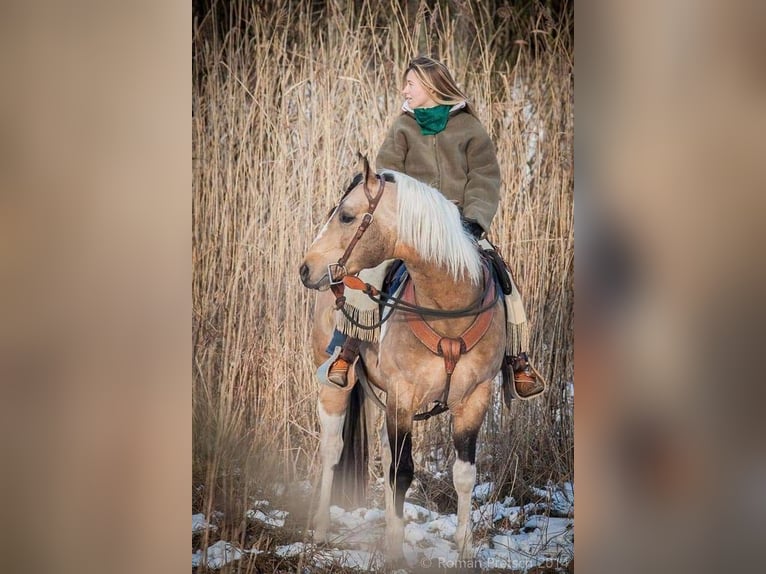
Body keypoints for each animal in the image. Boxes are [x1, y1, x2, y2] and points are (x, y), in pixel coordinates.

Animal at [300, 160, 510, 564]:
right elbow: (402, 471)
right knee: (333, 447)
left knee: (382, 449)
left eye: (346, 216)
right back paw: (319, 529)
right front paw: (396, 553)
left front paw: (465, 551)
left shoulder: (474, 398)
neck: (449, 308)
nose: (306, 268)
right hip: (338, 387)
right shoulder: (403, 394)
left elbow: (464, 475)